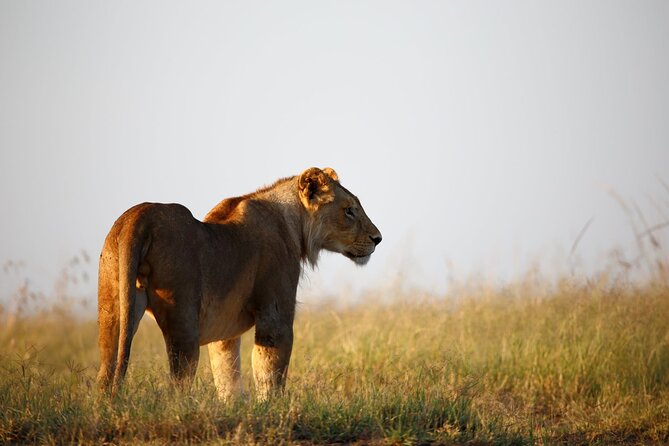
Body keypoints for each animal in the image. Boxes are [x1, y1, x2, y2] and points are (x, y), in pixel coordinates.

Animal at [96, 167, 381, 399]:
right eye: (349, 210)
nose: (378, 238)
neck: (293, 223)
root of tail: (138, 217)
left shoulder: (225, 331)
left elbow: (228, 375)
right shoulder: (274, 315)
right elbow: (270, 372)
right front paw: (271, 411)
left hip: (113, 308)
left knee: (106, 371)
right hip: (183, 318)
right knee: (177, 385)